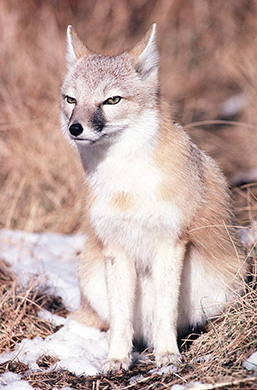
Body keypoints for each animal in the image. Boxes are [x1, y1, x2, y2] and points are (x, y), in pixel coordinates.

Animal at [60, 23, 244, 372]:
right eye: (71, 99)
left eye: (112, 100)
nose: (75, 128)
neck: (126, 184)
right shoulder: (116, 247)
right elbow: (121, 320)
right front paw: (117, 358)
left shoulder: (170, 243)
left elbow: (164, 312)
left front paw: (168, 355)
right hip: (93, 271)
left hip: (223, 284)